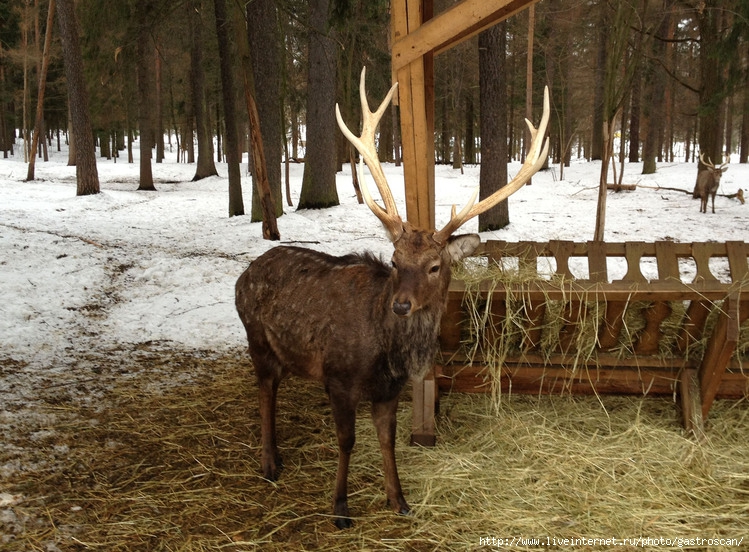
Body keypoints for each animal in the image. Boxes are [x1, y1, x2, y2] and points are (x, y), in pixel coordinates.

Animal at [234, 69, 548, 532]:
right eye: (396, 261)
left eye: (434, 266)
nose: (400, 305)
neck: (386, 351)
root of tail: (243, 275)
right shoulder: (338, 378)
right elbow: (347, 440)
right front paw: (340, 508)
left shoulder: (389, 388)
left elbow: (388, 439)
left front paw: (398, 499)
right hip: (256, 339)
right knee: (265, 390)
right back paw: (270, 462)